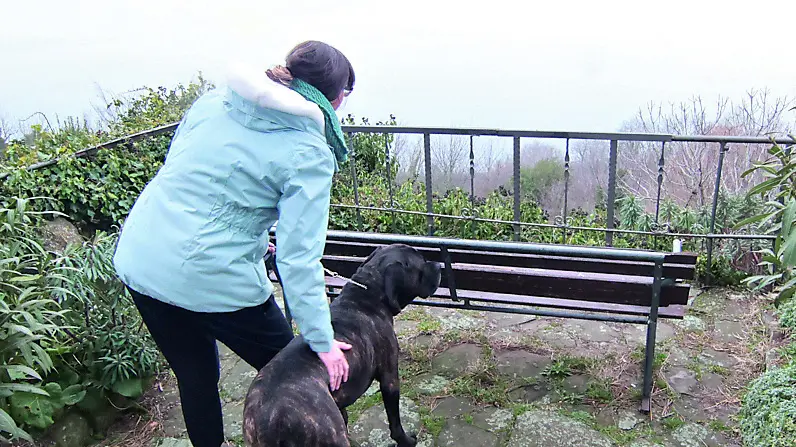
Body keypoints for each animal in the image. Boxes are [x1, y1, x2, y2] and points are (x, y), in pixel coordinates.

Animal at [243, 245, 442, 447]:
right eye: (421, 262)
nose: (438, 265)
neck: (367, 294)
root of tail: (269, 419)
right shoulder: (390, 379)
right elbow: (394, 421)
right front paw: (406, 440)